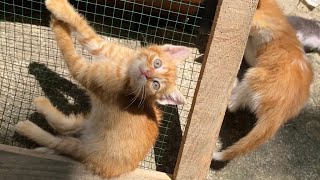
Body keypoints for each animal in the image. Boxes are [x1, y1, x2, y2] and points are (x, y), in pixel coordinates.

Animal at [14, 0, 190, 178]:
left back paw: (27, 127)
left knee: (59, 141)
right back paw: (42, 109)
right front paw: (60, 16)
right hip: (91, 121)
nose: (146, 74)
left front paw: (58, 21)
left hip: (86, 149)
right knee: (65, 126)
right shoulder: (103, 47)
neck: (125, 68)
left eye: (155, 84)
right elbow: (83, 27)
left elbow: (71, 50)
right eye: (157, 63)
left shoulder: (84, 71)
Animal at [212, 0, 312, 162]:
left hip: (253, 75)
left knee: (232, 105)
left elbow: (249, 43)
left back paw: (234, 83)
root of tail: (280, 112)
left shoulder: (260, 38)